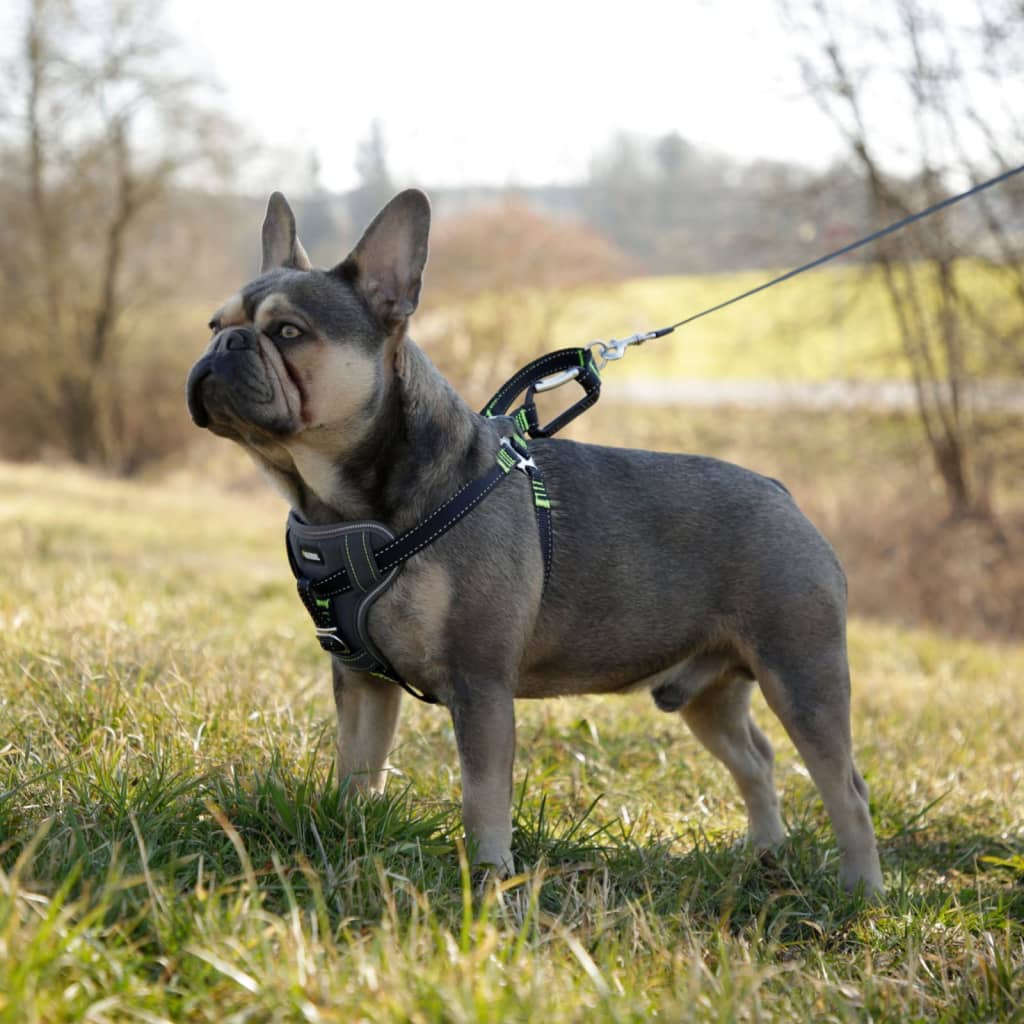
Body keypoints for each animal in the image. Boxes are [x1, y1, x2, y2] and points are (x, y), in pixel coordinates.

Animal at [188, 190, 884, 897]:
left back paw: (859, 890)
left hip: (802, 674)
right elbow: (360, 766)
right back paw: (766, 853)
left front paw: (490, 878)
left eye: (288, 332)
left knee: (845, 787)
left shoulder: (481, 686)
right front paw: (348, 835)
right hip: (708, 692)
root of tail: (782, 492)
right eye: (214, 323)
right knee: (757, 759)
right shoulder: (362, 682)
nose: (224, 343)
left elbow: (481, 795)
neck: (342, 505)